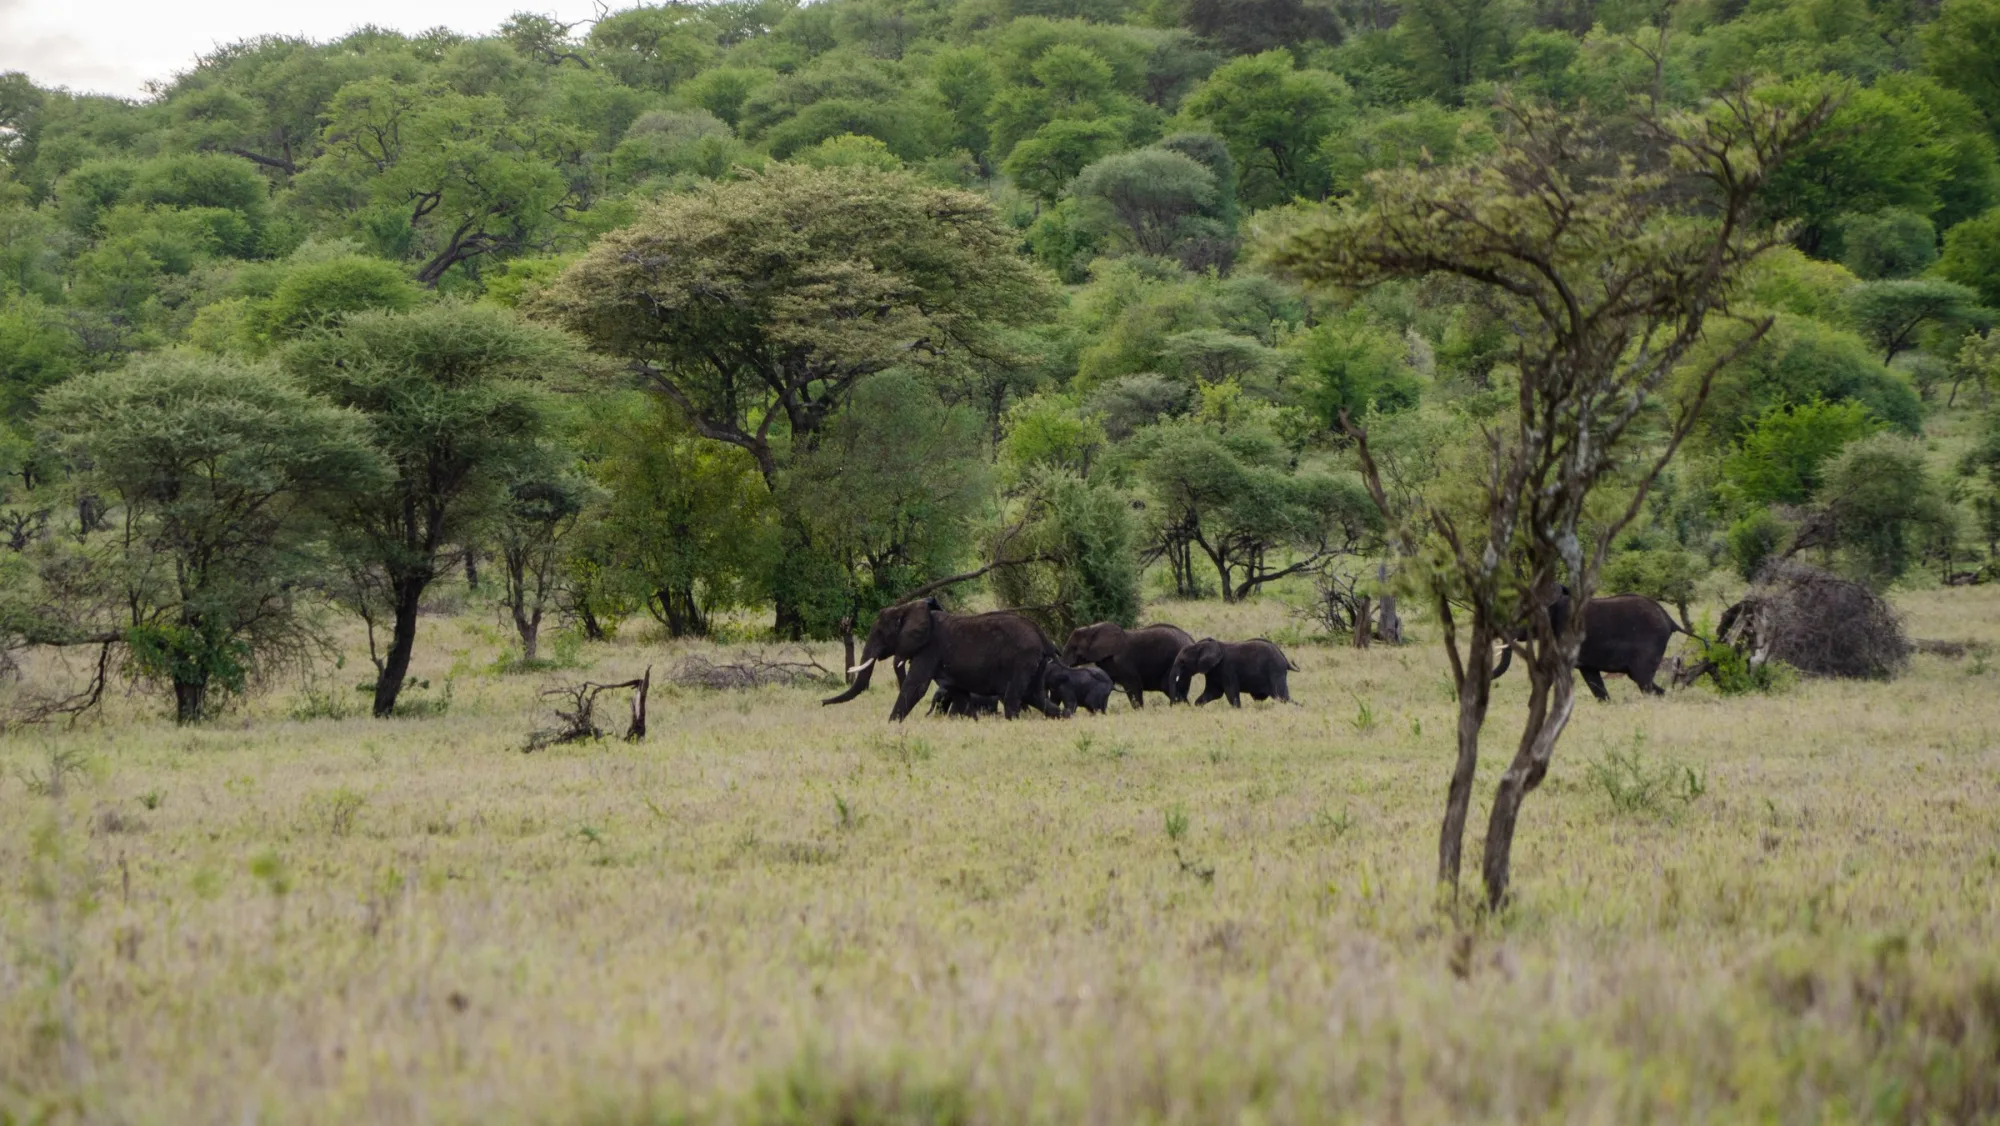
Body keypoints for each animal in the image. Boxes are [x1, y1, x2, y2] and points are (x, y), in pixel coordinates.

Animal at [822, 598, 1059, 721]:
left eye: (880, 633)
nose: (822, 702)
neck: (911, 609)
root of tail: (1042, 636)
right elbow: (959, 694)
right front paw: (972, 721)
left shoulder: (929, 649)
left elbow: (915, 687)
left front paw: (891, 724)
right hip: (1034, 664)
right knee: (1035, 696)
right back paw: (1062, 716)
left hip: (1022, 659)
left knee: (1013, 697)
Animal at [1060, 621, 1195, 707]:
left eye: (1074, 647)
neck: (1092, 628)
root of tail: (1190, 639)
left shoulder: (1122, 661)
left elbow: (1133, 685)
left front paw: (1139, 710)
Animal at [1167, 638, 1297, 707]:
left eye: (1183, 662)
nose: (1174, 704)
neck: (1201, 645)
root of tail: (1285, 659)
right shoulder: (1213, 672)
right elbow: (1213, 693)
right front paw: (1197, 706)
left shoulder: (1227, 669)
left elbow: (1230, 692)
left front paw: (1238, 709)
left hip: (1275, 671)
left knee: (1282, 697)